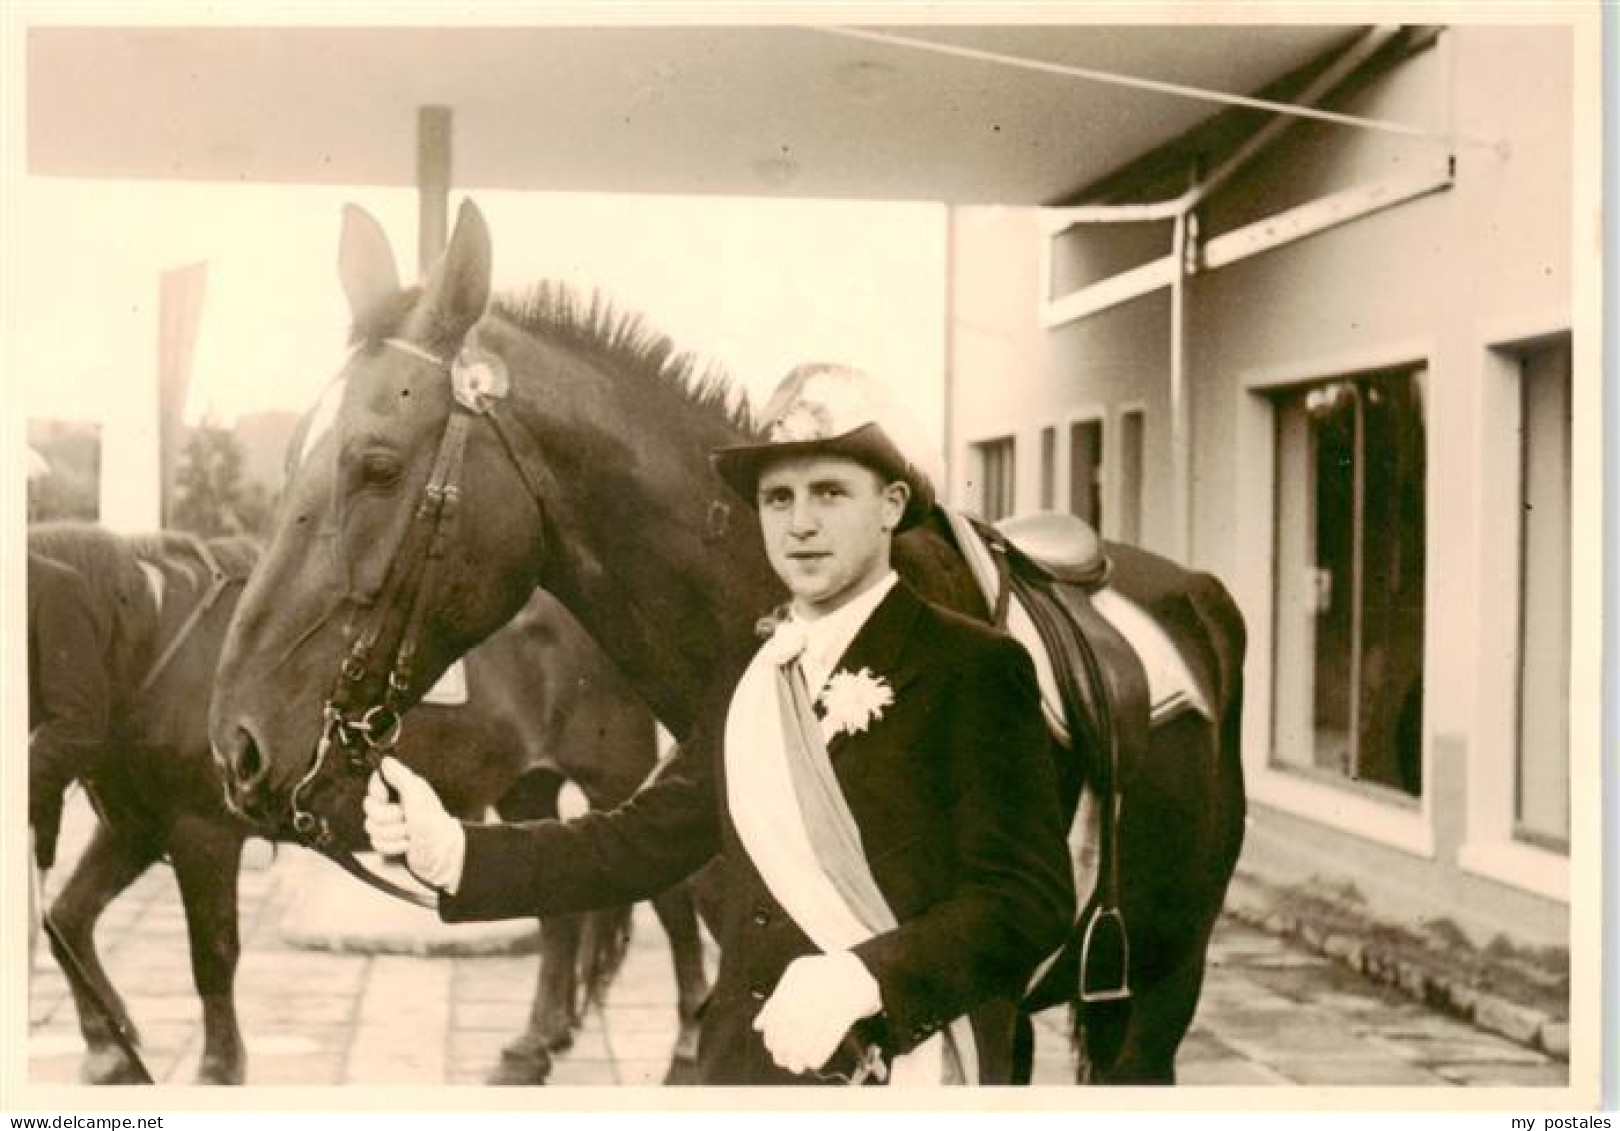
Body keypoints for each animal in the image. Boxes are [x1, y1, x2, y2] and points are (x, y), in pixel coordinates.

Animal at [25, 524, 709, 1082]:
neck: (156, 639)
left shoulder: (202, 834)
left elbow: (212, 955)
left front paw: (218, 1068)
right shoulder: (135, 829)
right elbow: (68, 919)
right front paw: (109, 1048)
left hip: (618, 780)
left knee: (674, 898)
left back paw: (690, 1038)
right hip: (527, 789)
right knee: (557, 909)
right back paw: (533, 1045)